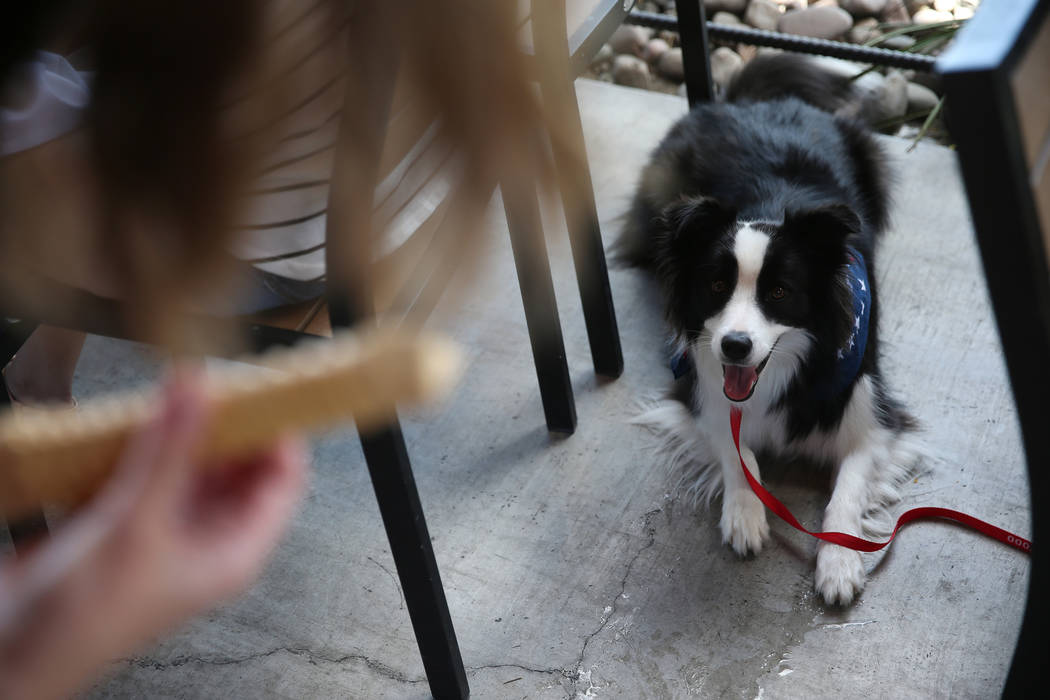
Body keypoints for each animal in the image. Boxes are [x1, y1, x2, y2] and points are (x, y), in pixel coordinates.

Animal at [621, 54, 919, 604]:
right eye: (717, 285)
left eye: (779, 292)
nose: (735, 347)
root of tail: (752, 101)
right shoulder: (701, 394)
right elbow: (739, 452)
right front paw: (744, 514)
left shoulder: (871, 417)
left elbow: (846, 489)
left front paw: (839, 563)